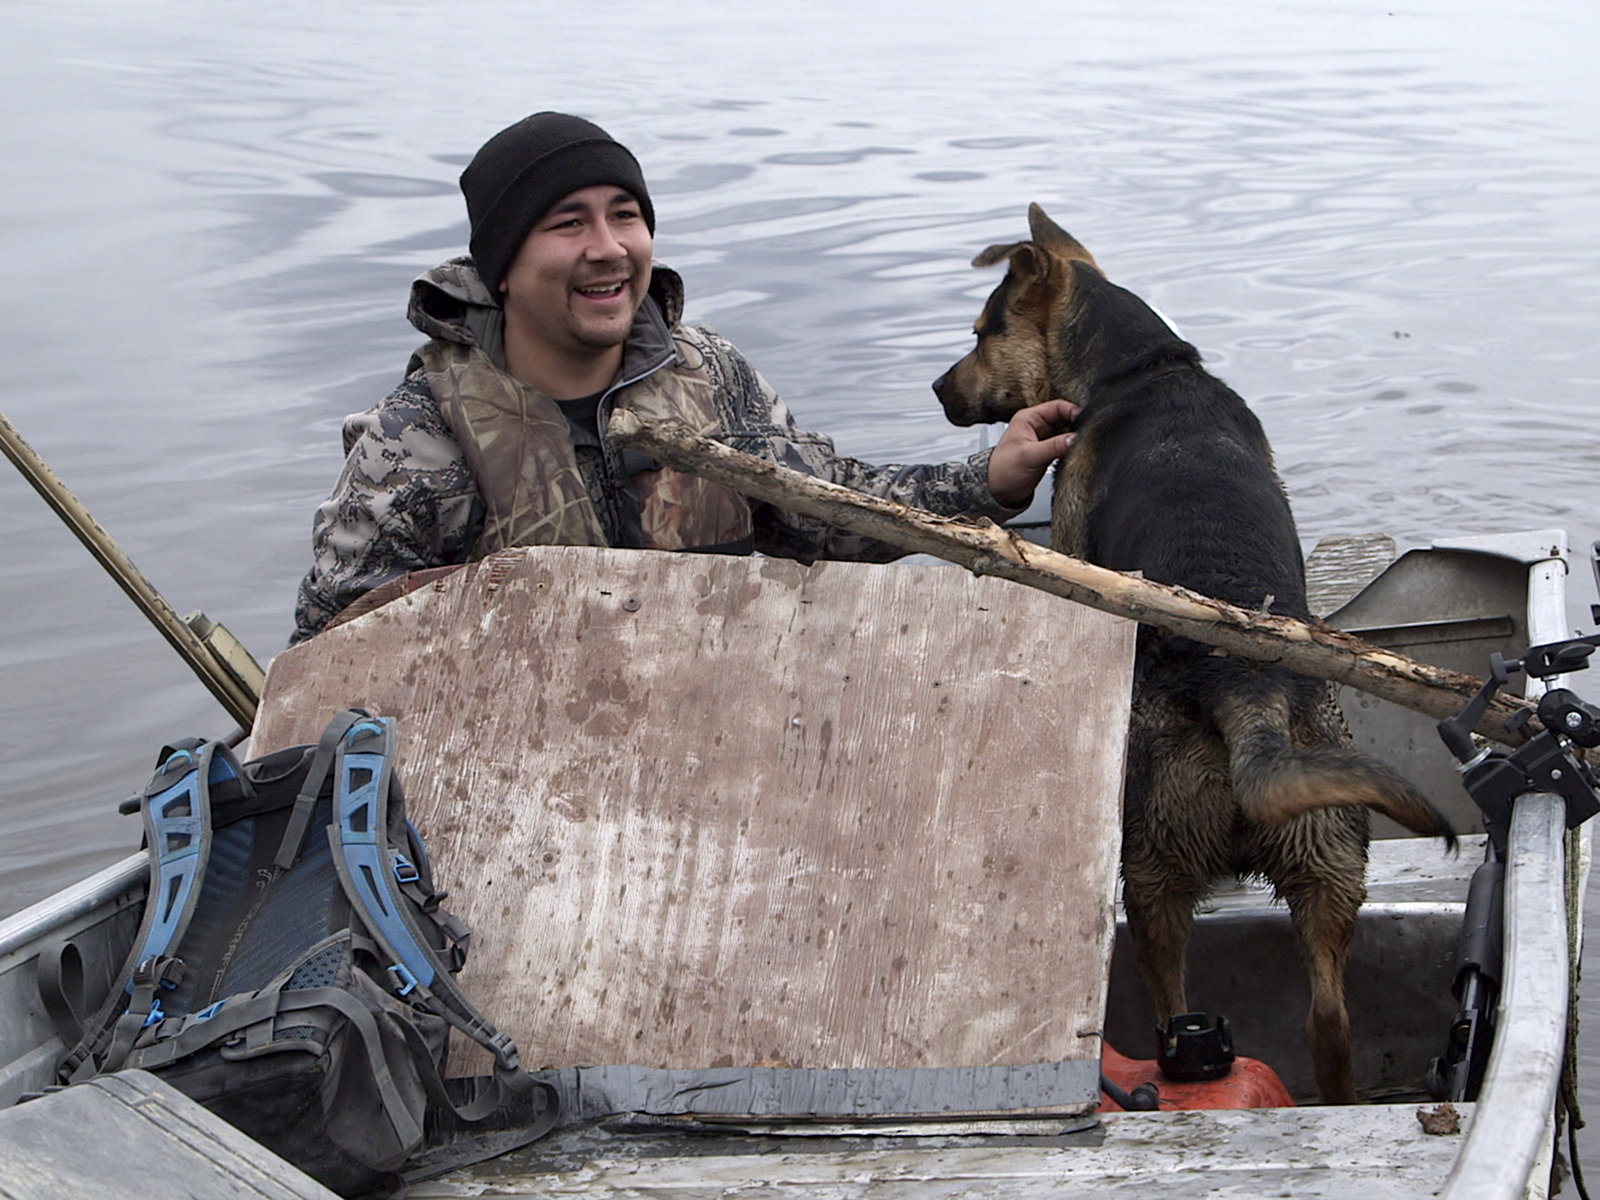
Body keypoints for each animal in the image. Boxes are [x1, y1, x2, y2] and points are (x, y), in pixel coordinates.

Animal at [932, 204, 1455, 1104]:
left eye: (981, 333)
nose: (937, 389)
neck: (1139, 370)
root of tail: (1242, 687)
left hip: (1154, 868)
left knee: (1173, 1002)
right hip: (1327, 857)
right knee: (1329, 1019)